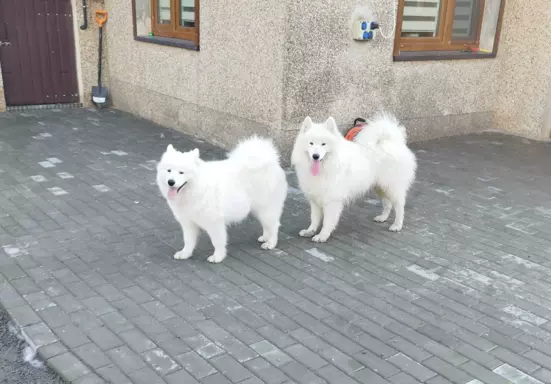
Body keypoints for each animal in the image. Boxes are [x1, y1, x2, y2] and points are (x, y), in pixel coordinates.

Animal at [157, 138, 288, 264]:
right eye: (169, 170)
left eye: (181, 172)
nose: (171, 182)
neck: (197, 188)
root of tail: (271, 162)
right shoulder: (188, 222)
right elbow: (188, 241)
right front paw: (185, 253)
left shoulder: (215, 222)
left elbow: (217, 241)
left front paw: (218, 257)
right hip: (258, 209)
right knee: (267, 225)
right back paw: (265, 237)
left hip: (266, 209)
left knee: (274, 225)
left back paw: (271, 243)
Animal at [292, 112, 416, 242]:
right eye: (311, 143)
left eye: (323, 144)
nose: (315, 156)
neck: (326, 166)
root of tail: (392, 143)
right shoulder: (315, 198)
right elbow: (314, 218)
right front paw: (310, 231)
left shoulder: (332, 200)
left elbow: (327, 221)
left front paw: (322, 235)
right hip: (380, 186)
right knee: (388, 203)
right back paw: (382, 217)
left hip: (392, 186)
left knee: (399, 206)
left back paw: (397, 225)